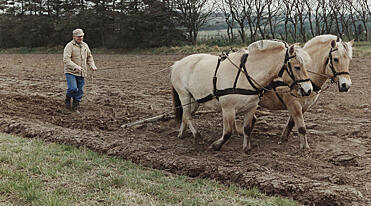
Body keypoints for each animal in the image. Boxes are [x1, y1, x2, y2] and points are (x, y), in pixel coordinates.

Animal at [171, 40, 314, 153]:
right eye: (297, 67)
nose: (308, 89)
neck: (247, 74)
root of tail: (177, 63)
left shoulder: (251, 107)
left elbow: (247, 128)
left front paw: (246, 148)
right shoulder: (228, 109)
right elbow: (227, 132)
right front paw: (216, 145)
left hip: (195, 100)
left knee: (185, 115)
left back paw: (181, 134)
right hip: (184, 95)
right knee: (188, 116)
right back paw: (196, 135)